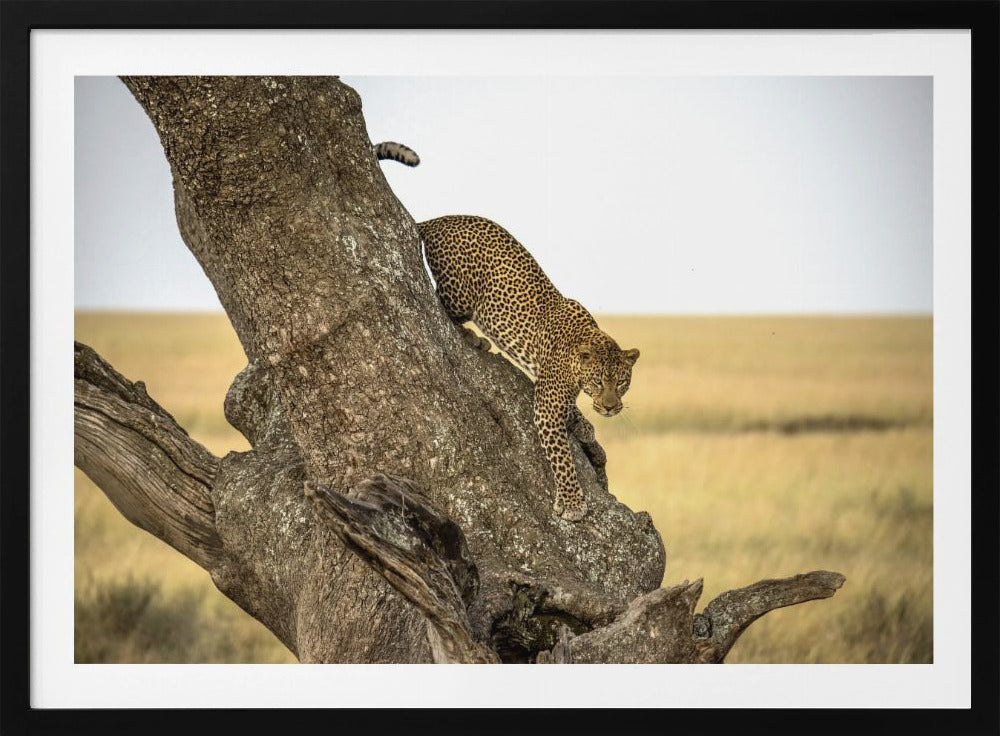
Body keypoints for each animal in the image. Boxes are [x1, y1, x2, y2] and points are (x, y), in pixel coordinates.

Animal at [375, 143, 639, 522]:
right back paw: (474, 338)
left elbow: (572, 413)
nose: (610, 407)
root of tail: (438, 221)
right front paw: (573, 502)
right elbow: (562, 458)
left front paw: (584, 426)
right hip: (462, 293)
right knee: (440, 304)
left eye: (621, 383)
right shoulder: (546, 405)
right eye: (600, 381)